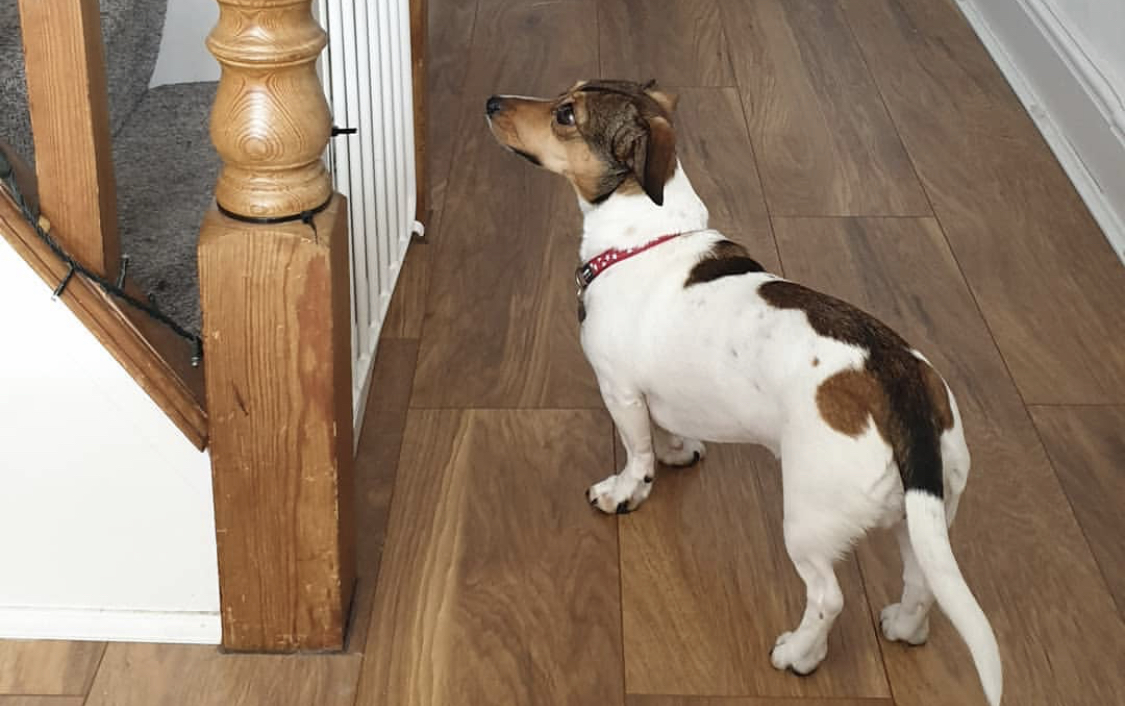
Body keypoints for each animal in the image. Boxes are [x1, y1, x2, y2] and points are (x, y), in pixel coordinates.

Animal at [483, 79, 1003, 701]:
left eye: (566, 114)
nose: (491, 102)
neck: (647, 236)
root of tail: (902, 391)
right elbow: (670, 428)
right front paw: (679, 452)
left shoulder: (620, 392)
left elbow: (637, 453)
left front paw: (626, 490)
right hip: (923, 519)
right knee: (923, 581)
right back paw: (904, 625)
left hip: (807, 522)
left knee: (828, 597)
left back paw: (799, 654)